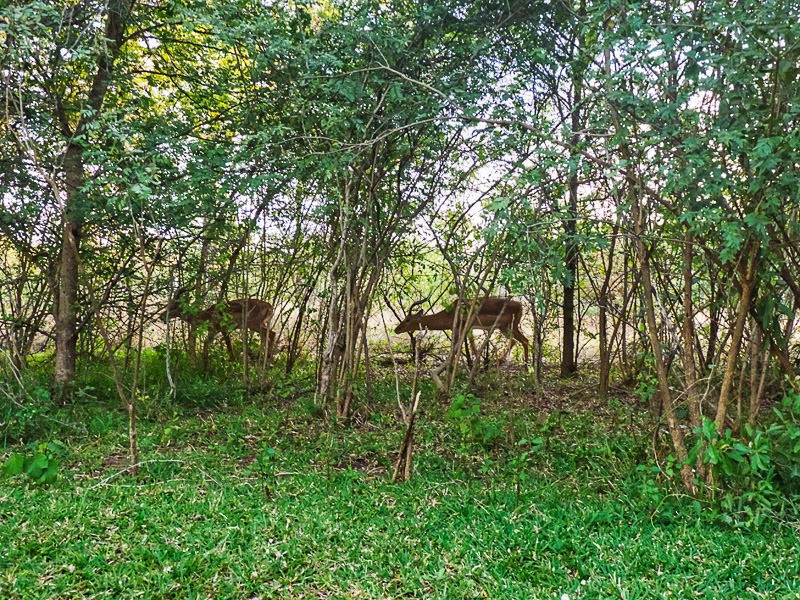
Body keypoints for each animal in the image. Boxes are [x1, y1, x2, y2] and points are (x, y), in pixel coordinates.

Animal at [395, 296, 529, 365]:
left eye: (407, 319)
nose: (396, 330)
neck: (449, 313)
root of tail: (520, 305)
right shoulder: (467, 330)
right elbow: (472, 347)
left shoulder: (463, 328)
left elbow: (460, 347)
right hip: (504, 329)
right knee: (518, 341)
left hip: (509, 327)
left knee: (524, 341)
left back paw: (524, 367)